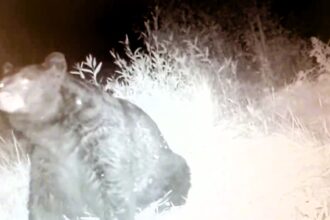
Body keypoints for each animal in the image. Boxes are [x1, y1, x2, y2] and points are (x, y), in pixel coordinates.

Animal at [0, 52, 191, 220]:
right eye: (1, 82)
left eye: (26, 80)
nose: (3, 93)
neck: (55, 132)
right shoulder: (46, 157)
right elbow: (44, 198)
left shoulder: (102, 141)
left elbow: (114, 189)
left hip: (168, 163)